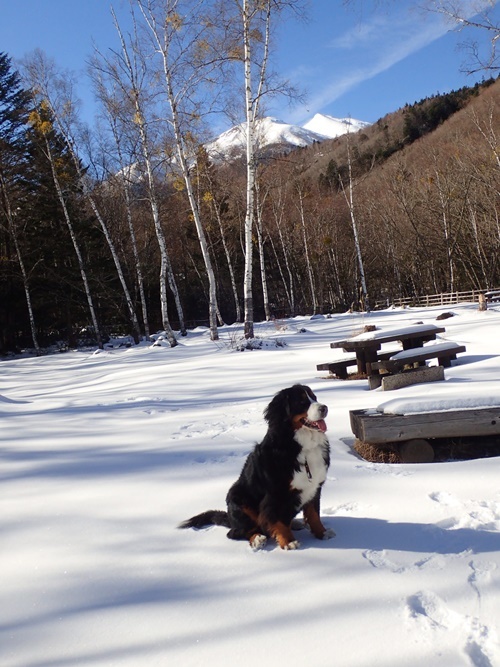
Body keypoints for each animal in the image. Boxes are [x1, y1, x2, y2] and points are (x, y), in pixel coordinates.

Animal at [178, 384, 334, 552]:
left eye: (314, 397)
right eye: (302, 401)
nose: (325, 408)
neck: (303, 447)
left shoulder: (314, 487)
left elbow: (314, 514)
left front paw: (322, 532)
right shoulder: (275, 493)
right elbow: (278, 520)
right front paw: (288, 541)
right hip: (238, 499)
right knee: (238, 532)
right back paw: (257, 539)